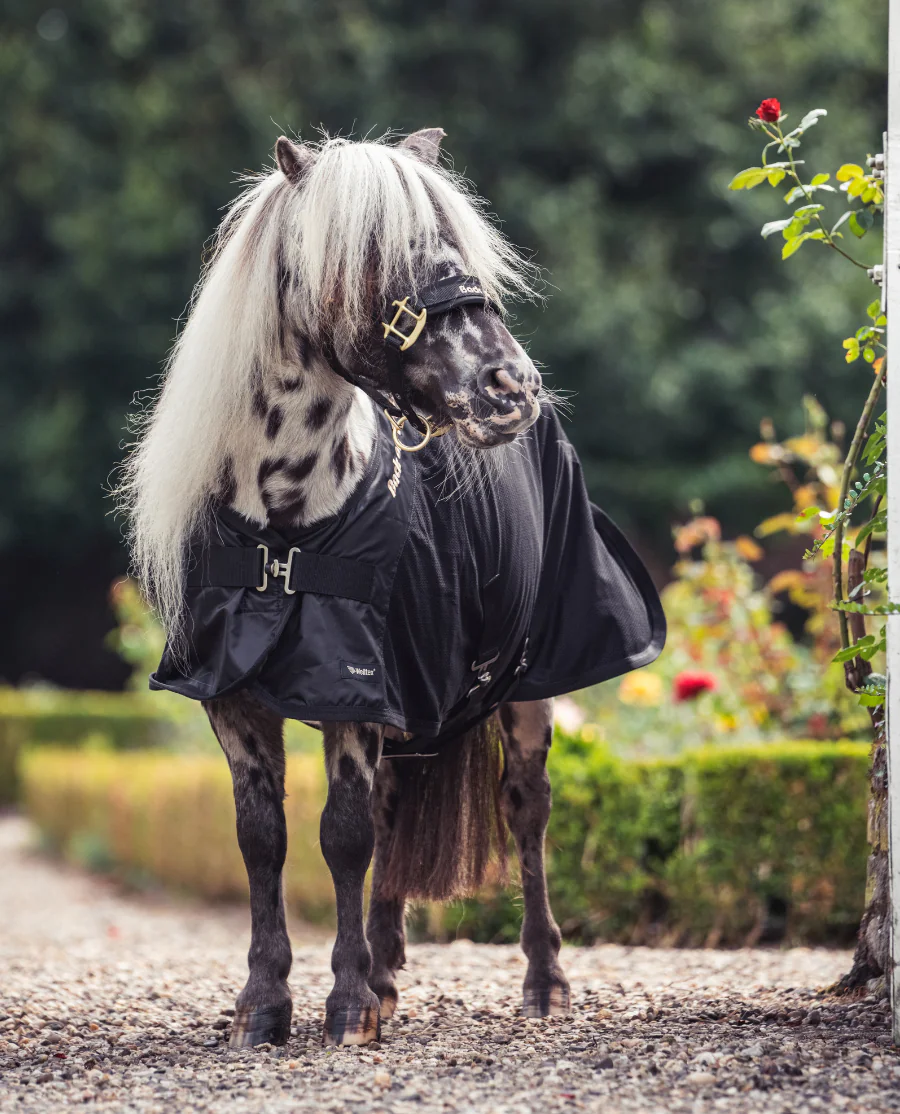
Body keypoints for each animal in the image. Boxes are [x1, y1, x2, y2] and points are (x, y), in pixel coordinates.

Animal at [119, 128, 664, 1049]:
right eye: (376, 257)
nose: (511, 388)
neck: (285, 525)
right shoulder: (241, 702)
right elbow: (265, 840)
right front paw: (266, 1004)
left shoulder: (360, 692)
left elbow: (341, 838)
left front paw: (344, 1008)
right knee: (393, 812)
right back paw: (386, 972)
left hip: (526, 695)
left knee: (525, 811)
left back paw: (542, 984)